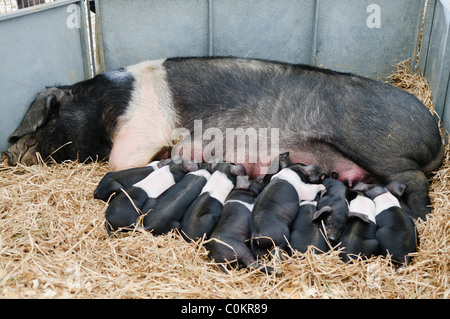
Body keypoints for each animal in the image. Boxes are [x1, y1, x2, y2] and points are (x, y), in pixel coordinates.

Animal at [5, 57, 444, 220]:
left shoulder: (138, 133)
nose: (10, 154)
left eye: (43, 120)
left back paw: (418, 215)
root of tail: (437, 137)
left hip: (377, 147)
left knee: (412, 179)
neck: (107, 106)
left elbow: (120, 162)